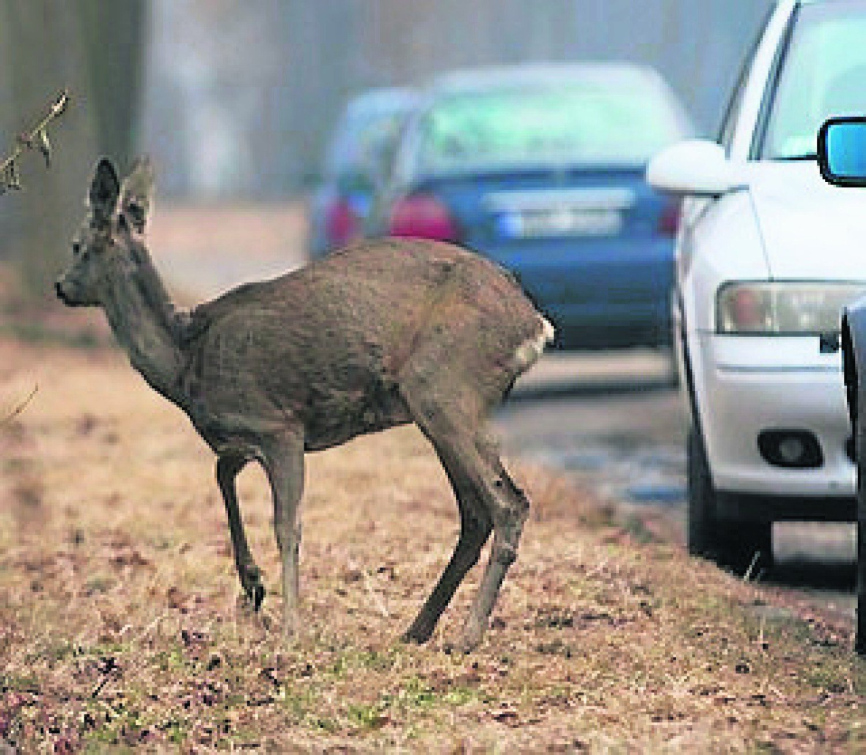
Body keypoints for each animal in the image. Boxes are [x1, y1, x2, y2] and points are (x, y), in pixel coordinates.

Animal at [55, 157, 552, 652]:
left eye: (78, 244)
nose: (61, 285)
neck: (187, 361)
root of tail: (534, 324)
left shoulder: (280, 426)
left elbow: (286, 524)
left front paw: (291, 626)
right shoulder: (243, 434)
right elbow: (222, 476)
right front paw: (254, 586)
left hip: (443, 385)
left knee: (508, 503)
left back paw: (467, 634)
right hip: (445, 407)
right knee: (475, 514)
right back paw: (416, 629)